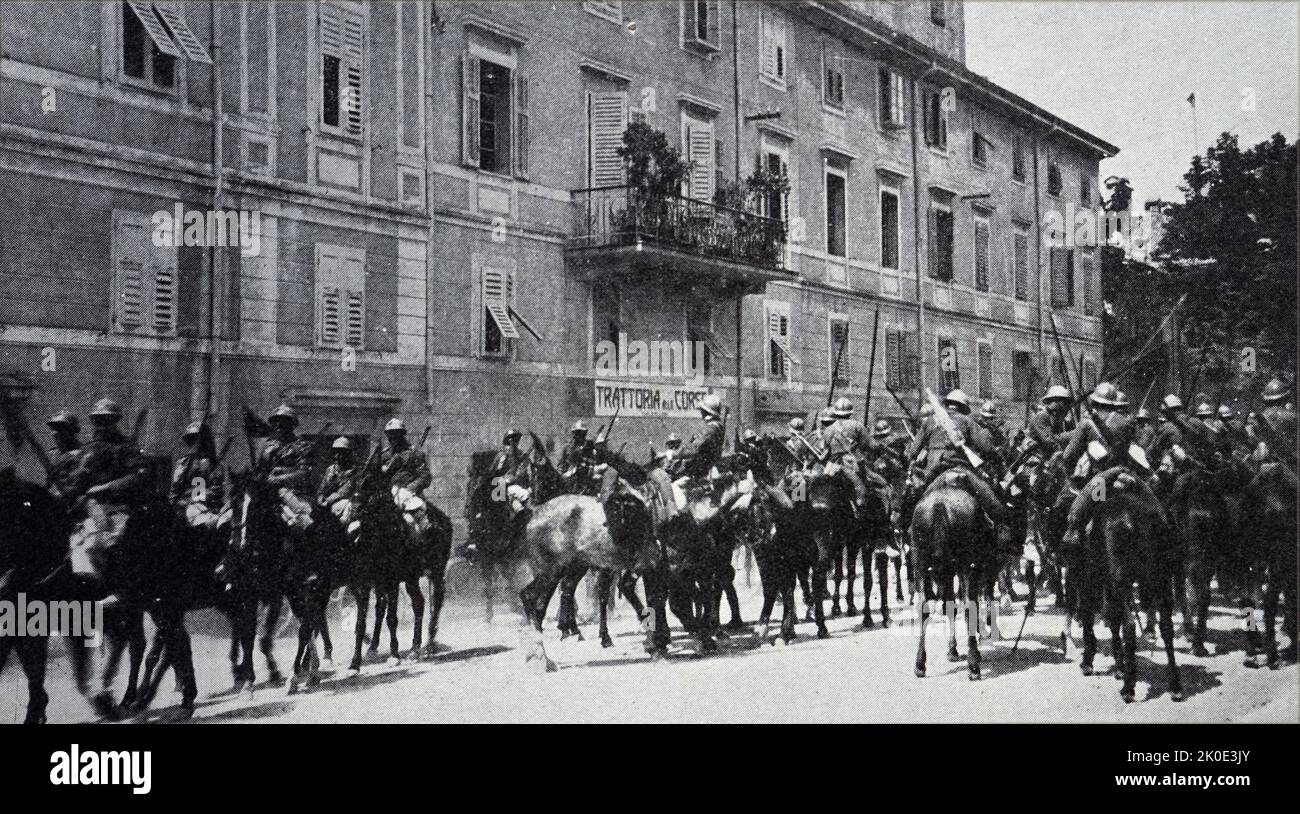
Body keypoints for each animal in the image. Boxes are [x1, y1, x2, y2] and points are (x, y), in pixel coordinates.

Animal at [1071, 473, 1185, 702]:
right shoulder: (1108, 584)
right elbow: (1112, 618)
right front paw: (1119, 667)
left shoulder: (1088, 578)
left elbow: (1091, 616)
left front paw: (1089, 662)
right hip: (1160, 580)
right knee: (1166, 627)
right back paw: (1175, 685)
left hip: (1121, 582)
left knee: (1130, 625)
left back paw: (1128, 688)